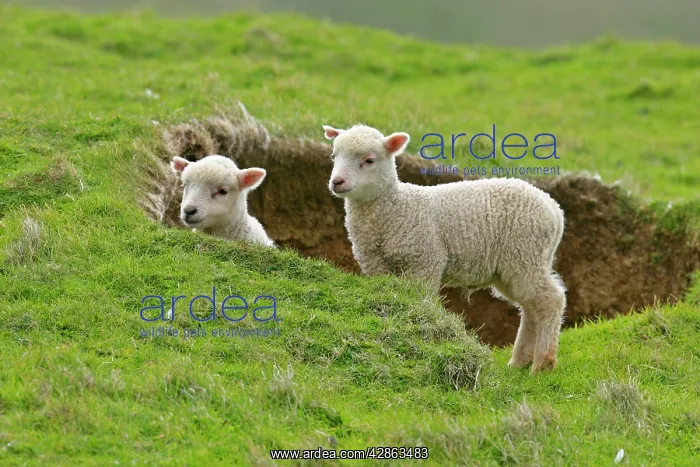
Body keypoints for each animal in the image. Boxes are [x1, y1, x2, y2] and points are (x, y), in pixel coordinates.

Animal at [323, 124, 566, 373]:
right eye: (334, 156)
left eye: (369, 160)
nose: (337, 182)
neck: (395, 209)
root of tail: (554, 209)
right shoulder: (374, 265)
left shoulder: (424, 261)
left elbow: (420, 301)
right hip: (519, 263)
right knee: (531, 307)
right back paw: (519, 363)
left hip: (525, 254)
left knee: (550, 300)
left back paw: (542, 364)